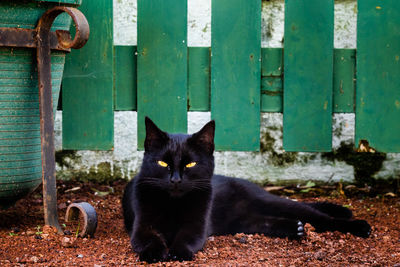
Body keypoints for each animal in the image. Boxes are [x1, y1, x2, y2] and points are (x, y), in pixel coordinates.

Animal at [122, 119, 372, 264]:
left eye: (190, 164)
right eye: (163, 163)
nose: (175, 180)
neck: (174, 204)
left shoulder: (196, 226)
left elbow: (186, 237)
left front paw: (178, 252)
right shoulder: (143, 225)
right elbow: (147, 239)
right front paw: (154, 252)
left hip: (271, 203)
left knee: (318, 217)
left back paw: (359, 226)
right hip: (243, 221)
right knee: (266, 221)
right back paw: (296, 229)